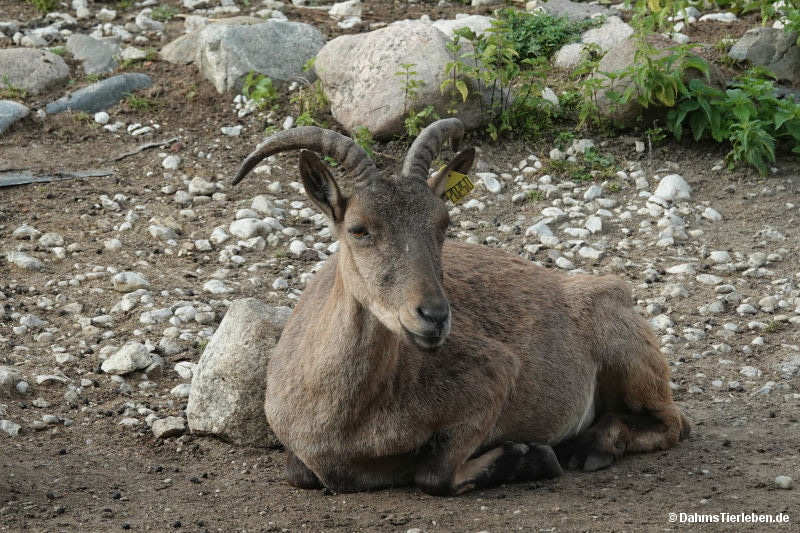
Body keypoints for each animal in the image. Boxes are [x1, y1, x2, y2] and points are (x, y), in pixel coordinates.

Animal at [233, 119, 689, 496]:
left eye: (444, 223)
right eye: (359, 228)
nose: (434, 316)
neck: (346, 423)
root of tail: (616, 290)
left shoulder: (494, 375)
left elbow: (435, 475)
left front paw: (530, 456)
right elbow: (299, 472)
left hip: (622, 350)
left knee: (672, 423)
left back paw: (590, 446)